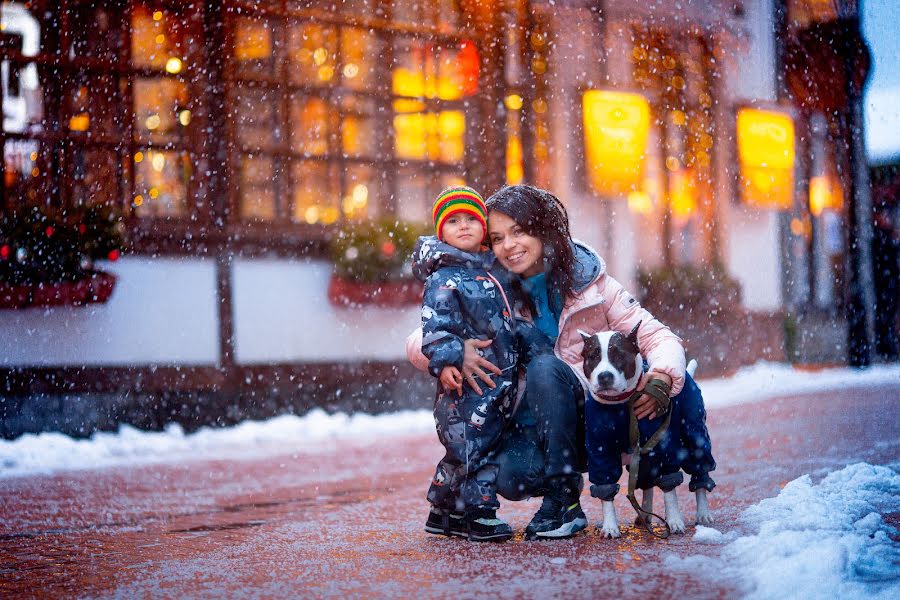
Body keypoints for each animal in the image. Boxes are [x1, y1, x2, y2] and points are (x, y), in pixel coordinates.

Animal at [580, 324, 712, 540]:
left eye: (619, 354)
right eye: (593, 356)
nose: (604, 376)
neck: (621, 403)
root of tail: (687, 374)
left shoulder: (665, 445)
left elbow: (669, 487)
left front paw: (674, 520)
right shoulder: (600, 450)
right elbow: (605, 488)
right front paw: (610, 526)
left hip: (694, 435)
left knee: (700, 470)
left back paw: (703, 513)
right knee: (646, 481)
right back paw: (645, 513)